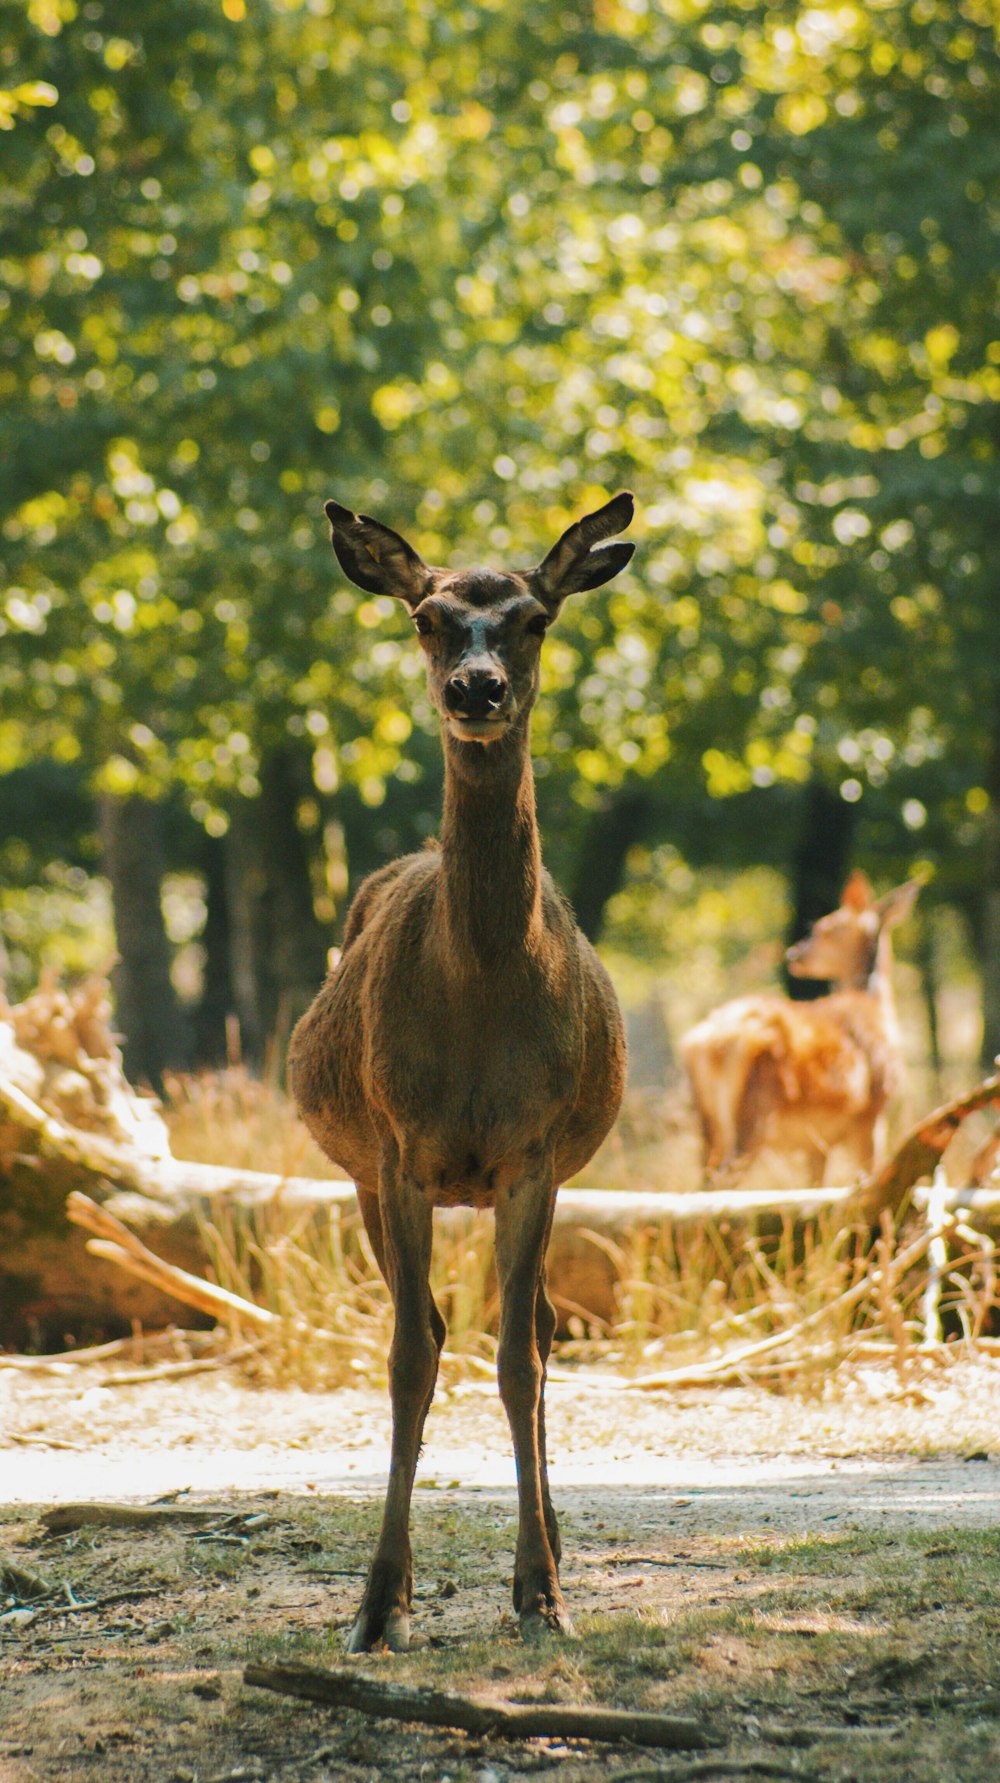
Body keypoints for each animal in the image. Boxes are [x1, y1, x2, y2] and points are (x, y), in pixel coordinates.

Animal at [288, 484, 631, 1640]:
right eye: (427, 617)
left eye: (533, 617)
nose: (475, 687)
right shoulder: (400, 1149)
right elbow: (407, 1356)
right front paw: (377, 1603)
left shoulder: (532, 1152)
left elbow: (518, 1359)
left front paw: (541, 1594)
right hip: (361, 1172)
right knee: (436, 1328)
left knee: (538, 1338)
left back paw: (558, 1542)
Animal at [677, 873, 919, 1183]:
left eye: (828, 927)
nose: (793, 954)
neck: (880, 1014)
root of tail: (703, 1043)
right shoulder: (871, 1114)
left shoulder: (817, 1143)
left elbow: (816, 1186)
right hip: (751, 1118)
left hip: (707, 1127)